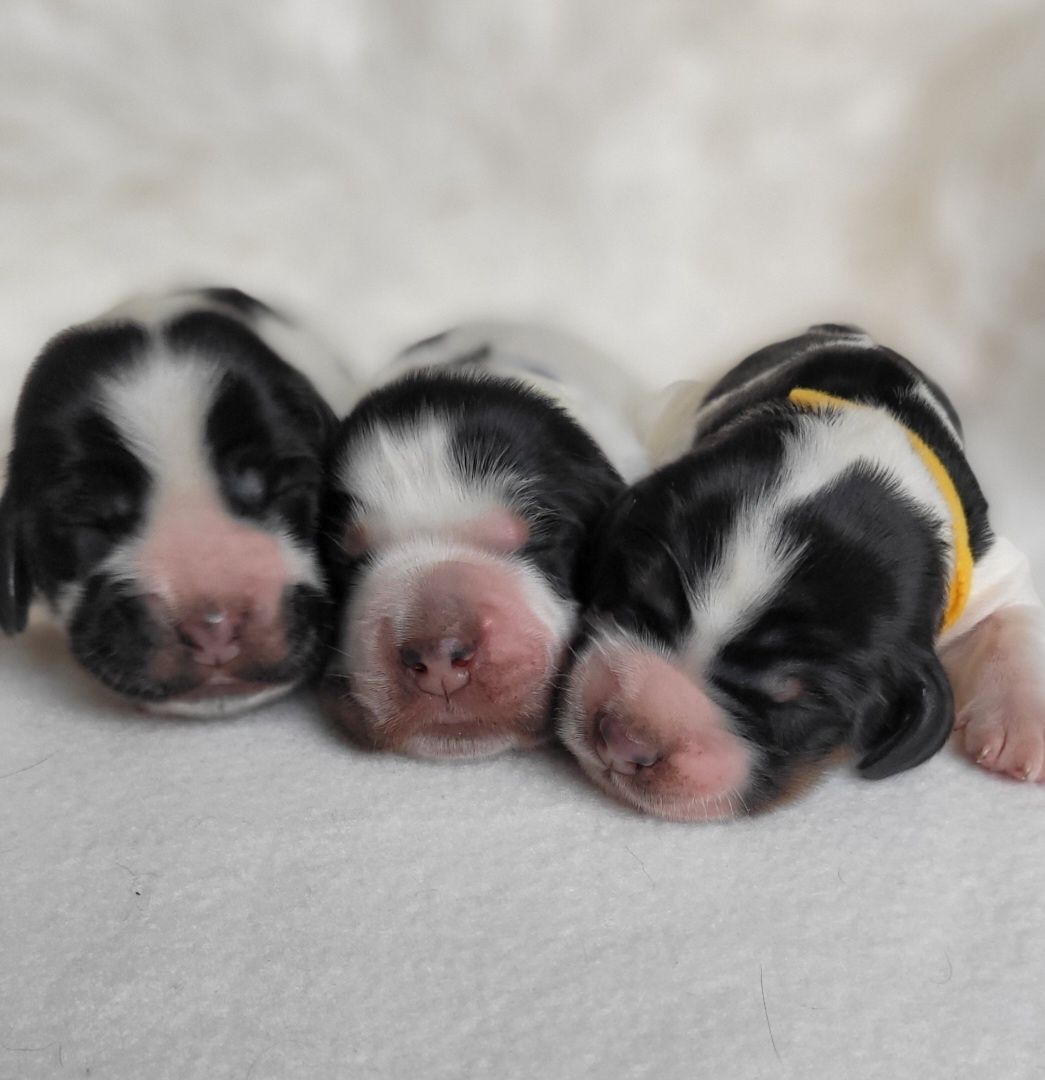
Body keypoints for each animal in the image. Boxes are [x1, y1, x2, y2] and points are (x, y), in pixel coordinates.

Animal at [561, 324, 1040, 820]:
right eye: (630, 601)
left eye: (793, 697)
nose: (624, 742)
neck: (863, 440)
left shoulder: (986, 567)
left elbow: (1014, 618)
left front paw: (1022, 730)